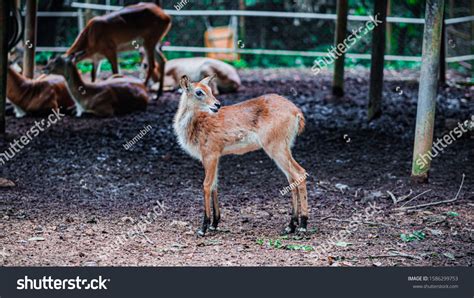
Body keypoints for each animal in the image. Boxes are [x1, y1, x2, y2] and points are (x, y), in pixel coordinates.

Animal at [174, 75, 308, 237]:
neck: (194, 126)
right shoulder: (216, 157)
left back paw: (303, 226)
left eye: (210, 90)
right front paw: (214, 224)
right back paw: (290, 226)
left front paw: (203, 227)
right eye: (199, 91)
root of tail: (296, 112)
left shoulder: (210, 154)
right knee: (291, 179)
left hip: (276, 148)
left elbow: (206, 185)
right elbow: (214, 185)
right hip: (285, 148)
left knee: (300, 173)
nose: (217, 105)